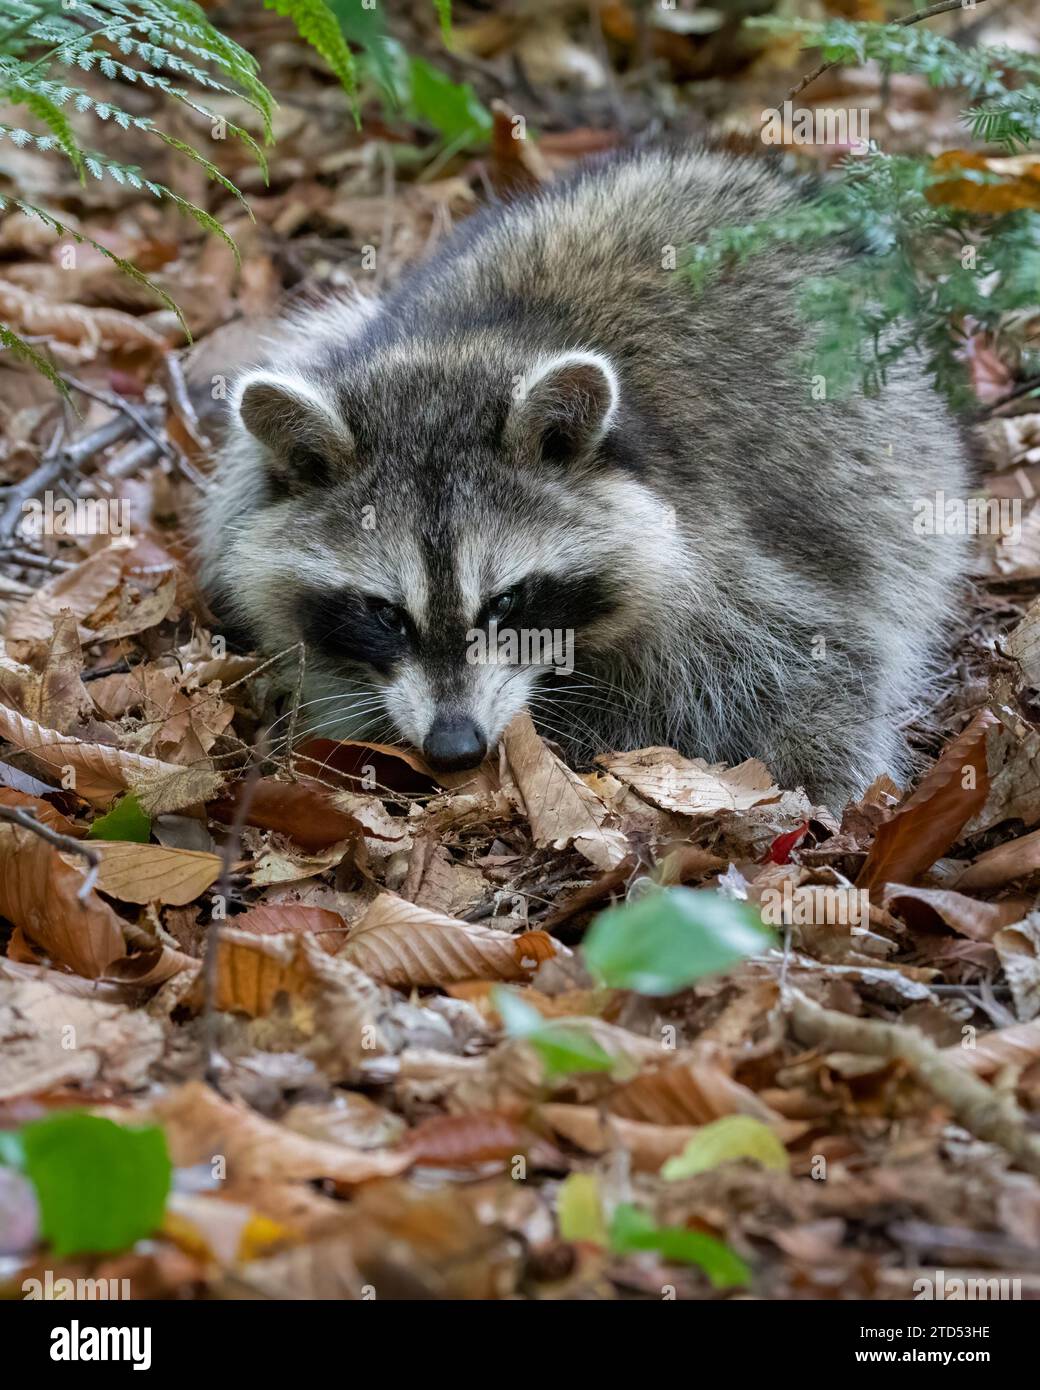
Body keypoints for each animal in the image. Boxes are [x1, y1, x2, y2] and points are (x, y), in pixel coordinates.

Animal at [198, 143, 973, 806]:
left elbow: (821, 663)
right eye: (385, 613)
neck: (470, 346)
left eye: (506, 602)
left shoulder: (737, 562)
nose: (454, 747)